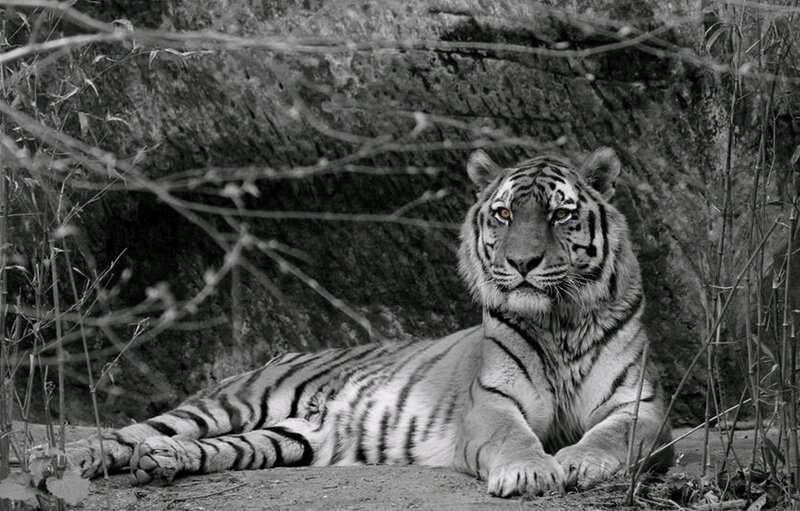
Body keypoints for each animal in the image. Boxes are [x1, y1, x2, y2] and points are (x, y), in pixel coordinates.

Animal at [52, 147, 672, 497]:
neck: (559, 320)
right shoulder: (492, 404)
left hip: (290, 436)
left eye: (560, 214)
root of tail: (284, 351)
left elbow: (616, 436)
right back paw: (57, 464)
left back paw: (162, 463)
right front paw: (531, 472)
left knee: (204, 447)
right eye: (502, 214)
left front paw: (579, 461)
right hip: (236, 400)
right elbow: (513, 437)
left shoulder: (641, 406)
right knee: (127, 433)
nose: (522, 263)